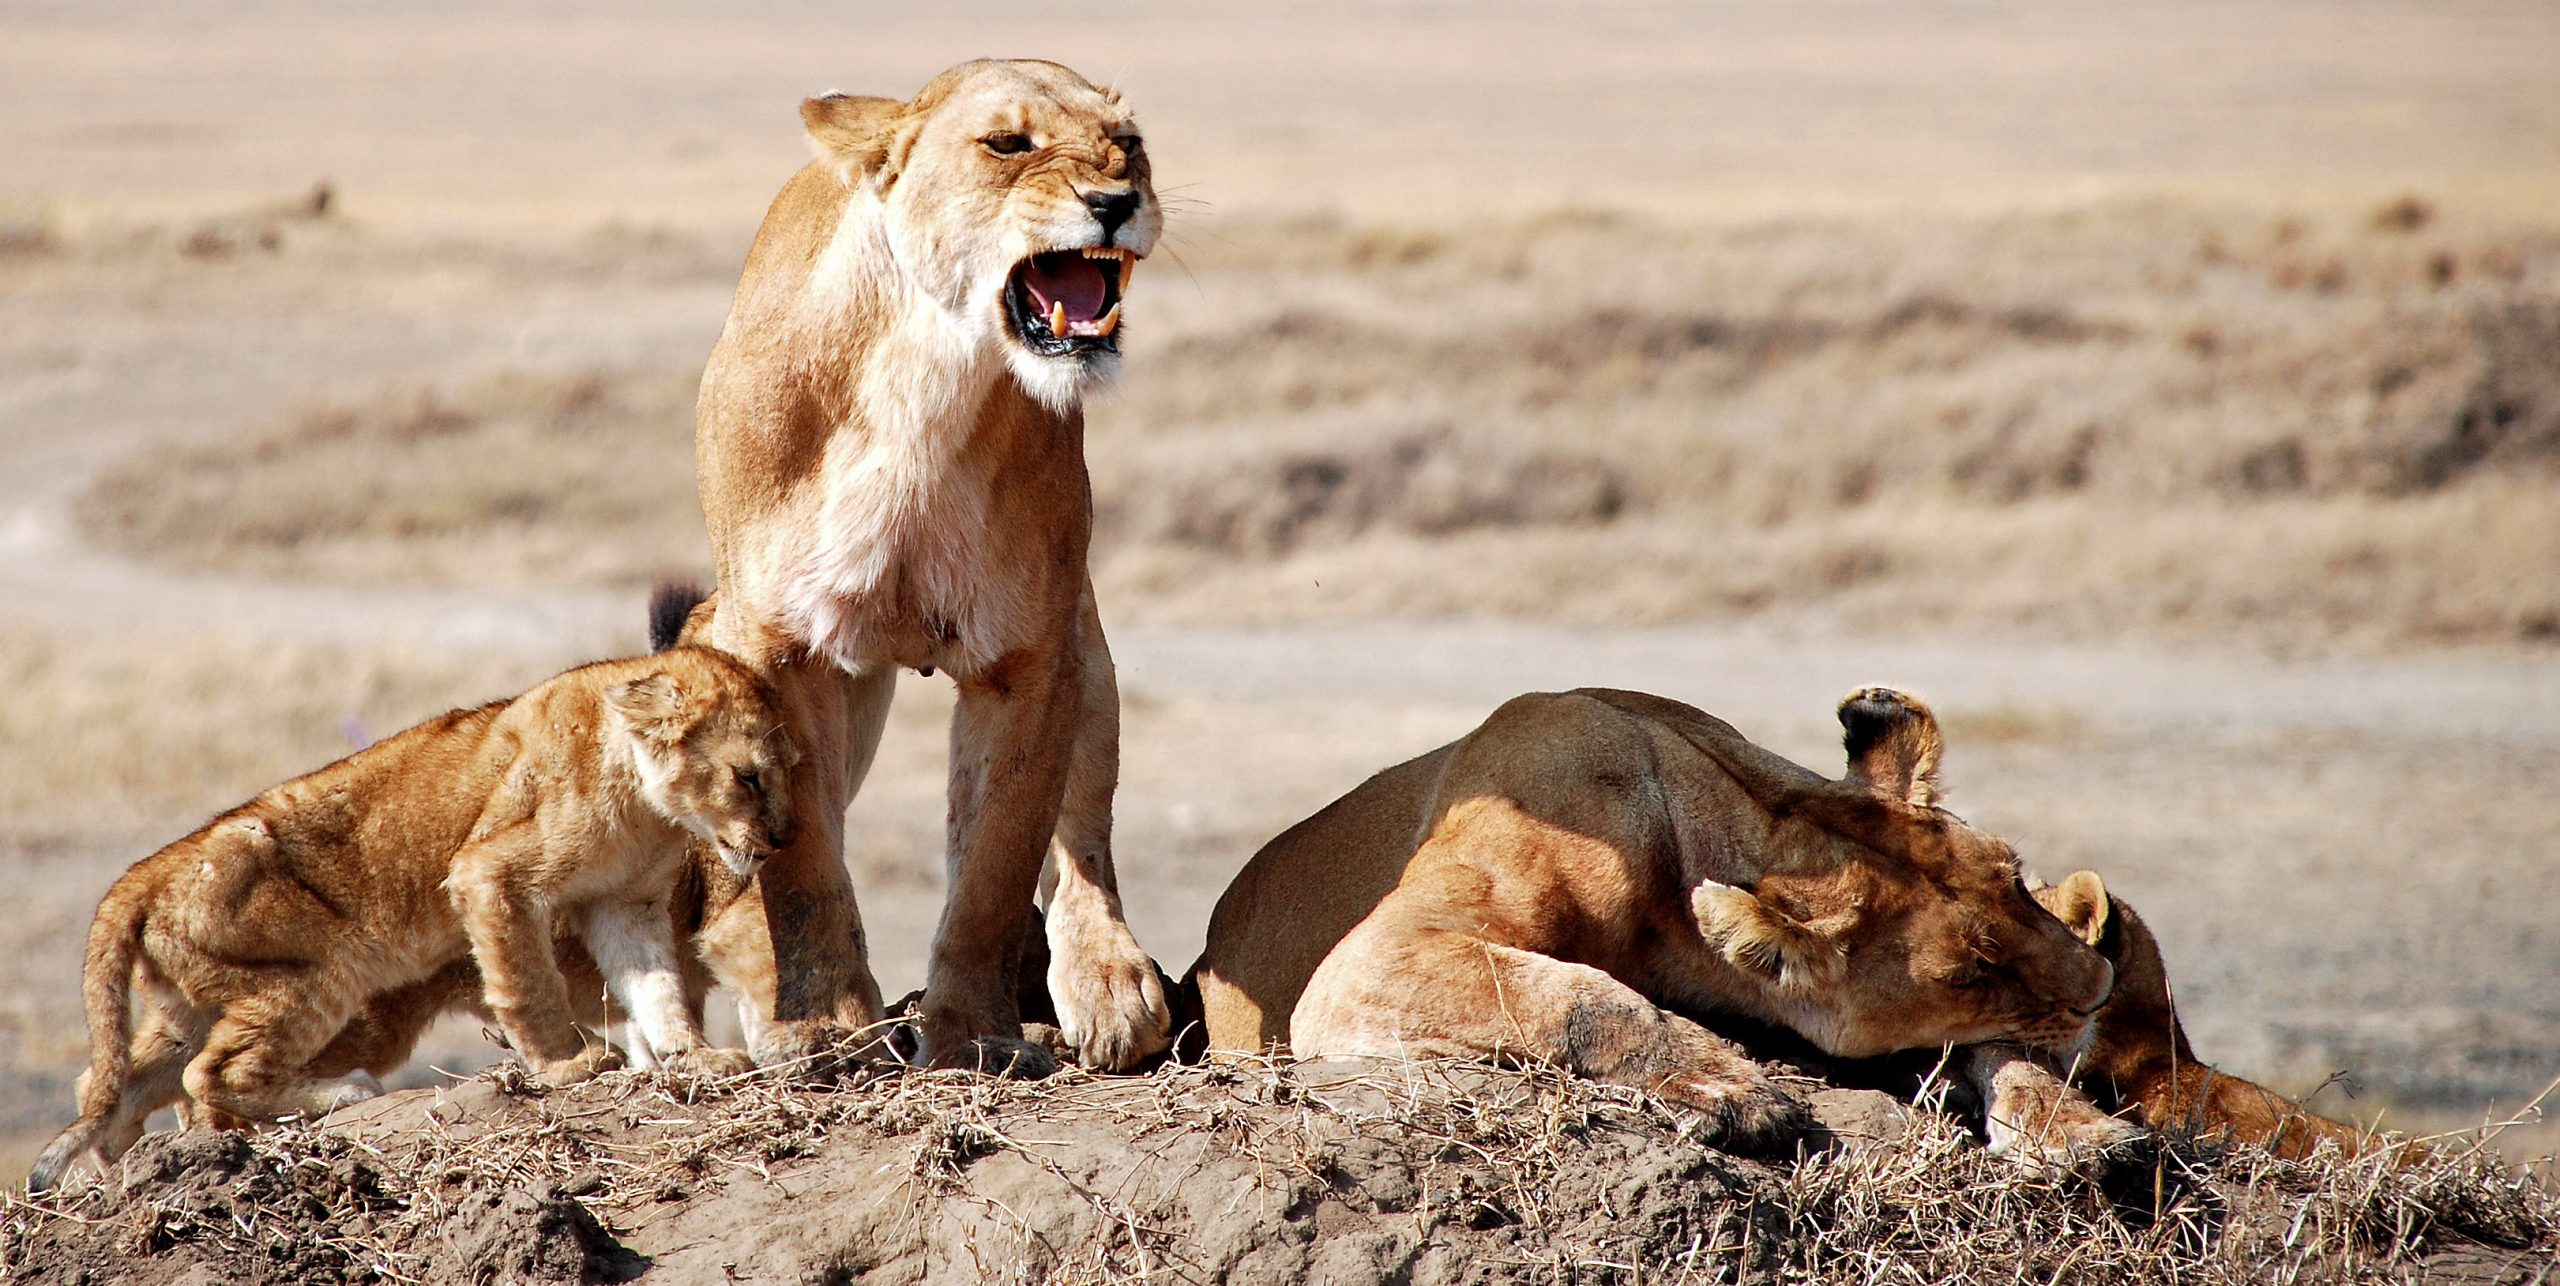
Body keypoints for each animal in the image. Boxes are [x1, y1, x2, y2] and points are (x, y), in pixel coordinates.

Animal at [25, 646, 795, 1192]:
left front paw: (695, 1057)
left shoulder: (624, 903)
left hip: (192, 1002)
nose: (783, 840)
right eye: (748, 776)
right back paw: (335, 1094)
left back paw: (116, 1168)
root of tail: (144, 872)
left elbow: (657, 987)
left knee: (110, 1084)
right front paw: (567, 1064)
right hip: (316, 972)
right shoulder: (489, 872)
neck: (648, 809)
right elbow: (529, 983)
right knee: (211, 1073)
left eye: (789, 772)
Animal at [670, 58, 1170, 1074]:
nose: (1116, 201)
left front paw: (971, 1032)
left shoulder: (1030, 655)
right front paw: (822, 1024)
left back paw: (1109, 981)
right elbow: (804, 863)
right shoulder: (775, 641)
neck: (930, 377)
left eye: (1128, 144)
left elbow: (995, 863)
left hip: (1085, 642)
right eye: (1007, 144)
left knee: (1083, 837)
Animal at [1188, 686, 2116, 1147]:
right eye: (1968, 971)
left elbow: (1998, 1047)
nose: (2103, 987)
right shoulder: (1369, 961)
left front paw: (2074, 1128)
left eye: (2017, 878)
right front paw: (1733, 1087)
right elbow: (1578, 994)